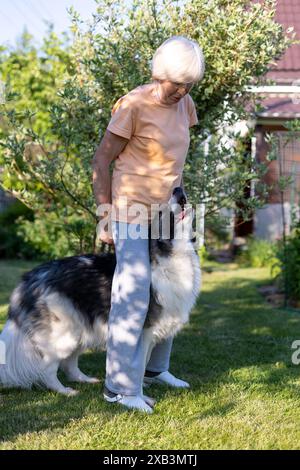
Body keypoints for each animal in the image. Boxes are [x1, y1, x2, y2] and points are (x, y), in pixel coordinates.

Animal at [0, 187, 202, 396]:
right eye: (161, 212)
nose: (177, 189)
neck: (170, 254)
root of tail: (31, 277)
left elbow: (144, 363)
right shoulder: (144, 332)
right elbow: (138, 364)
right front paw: (136, 391)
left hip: (80, 329)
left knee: (69, 364)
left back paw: (84, 380)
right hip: (64, 334)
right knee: (47, 368)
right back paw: (64, 391)